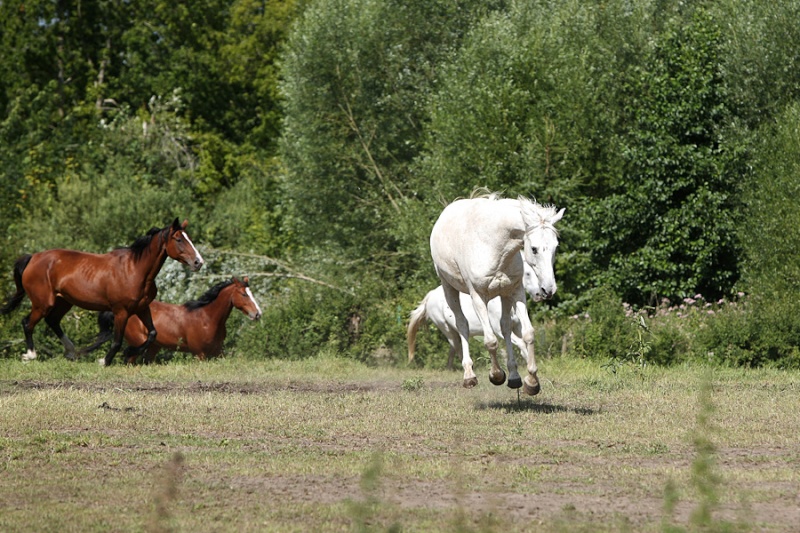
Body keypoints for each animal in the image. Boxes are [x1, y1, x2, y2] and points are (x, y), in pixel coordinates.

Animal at [0, 218, 205, 364]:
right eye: (179, 239)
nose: (199, 262)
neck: (135, 269)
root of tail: (33, 258)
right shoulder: (121, 311)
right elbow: (117, 340)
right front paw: (104, 360)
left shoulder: (142, 308)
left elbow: (152, 334)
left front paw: (129, 352)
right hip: (43, 302)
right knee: (28, 323)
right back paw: (30, 355)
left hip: (63, 301)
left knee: (53, 321)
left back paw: (72, 352)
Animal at [83, 276, 260, 364]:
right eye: (244, 294)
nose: (257, 313)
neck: (207, 318)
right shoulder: (199, 354)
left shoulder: (218, 352)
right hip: (137, 343)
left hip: (153, 347)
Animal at [410, 260, 540, 368]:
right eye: (527, 273)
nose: (539, 294)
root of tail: (430, 296)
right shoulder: (498, 329)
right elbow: (521, 343)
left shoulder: (517, 326)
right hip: (446, 329)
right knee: (457, 347)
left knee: (454, 348)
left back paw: (451, 368)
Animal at [432, 193, 564, 392]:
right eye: (534, 249)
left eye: (556, 247)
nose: (548, 290)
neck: (494, 244)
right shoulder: (477, 296)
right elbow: (491, 341)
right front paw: (496, 375)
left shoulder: (515, 291)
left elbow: (528, 334)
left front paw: (532, 381)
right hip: (449, 288)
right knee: (462, 325)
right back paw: (469, 375)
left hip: (504, 296)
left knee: (505, 327)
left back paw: (514, 377)